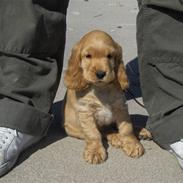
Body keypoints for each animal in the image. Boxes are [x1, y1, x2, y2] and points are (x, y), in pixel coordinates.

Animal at [63, 30, 151, 164]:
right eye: (88, 56)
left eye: (109, 56)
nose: (100, 73)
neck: (101, 88)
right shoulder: (86, 111)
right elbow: (93, 134)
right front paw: (95, 151)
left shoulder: (120, 107)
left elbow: (127, 128)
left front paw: (132, 144)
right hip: (72, 129)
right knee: (104, 131)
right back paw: (116, 138)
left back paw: (140, 131)